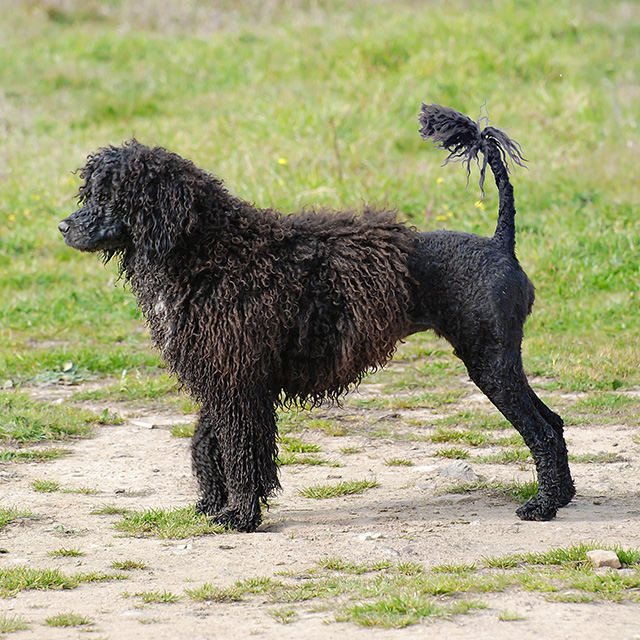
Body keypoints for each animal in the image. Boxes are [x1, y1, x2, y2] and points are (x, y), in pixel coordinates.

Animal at [58, 105, 576, 532]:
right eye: (91, 193)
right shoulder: (225, 376)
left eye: (109, 197)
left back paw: (542, 506)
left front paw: (239, 516)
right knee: (553, 423)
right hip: (502, 361)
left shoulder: (239, 381)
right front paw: (211, 506)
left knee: (541, 431)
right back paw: (563, 496)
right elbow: (209, 444)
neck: (211, 251)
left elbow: (241, 451)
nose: (63, 226)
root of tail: (500, 243)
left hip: (490, 360)